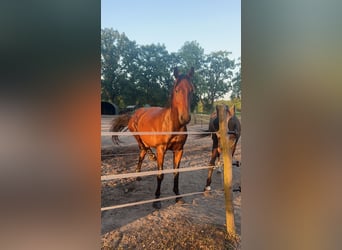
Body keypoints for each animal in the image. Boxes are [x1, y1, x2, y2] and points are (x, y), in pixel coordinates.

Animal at [110, 67, 194, 209]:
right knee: (143, 149)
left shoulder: (179, 150)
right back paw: (148, 160)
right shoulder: (161, 150)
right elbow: (160, 174)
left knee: (142, 152)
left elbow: (176, 173)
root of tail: (135, 113)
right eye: (177, 90)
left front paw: (178, 196)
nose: (185, 118)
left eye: (192, 90)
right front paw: (157, 200)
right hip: (138, 137)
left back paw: (139, 172)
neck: (172, 125)